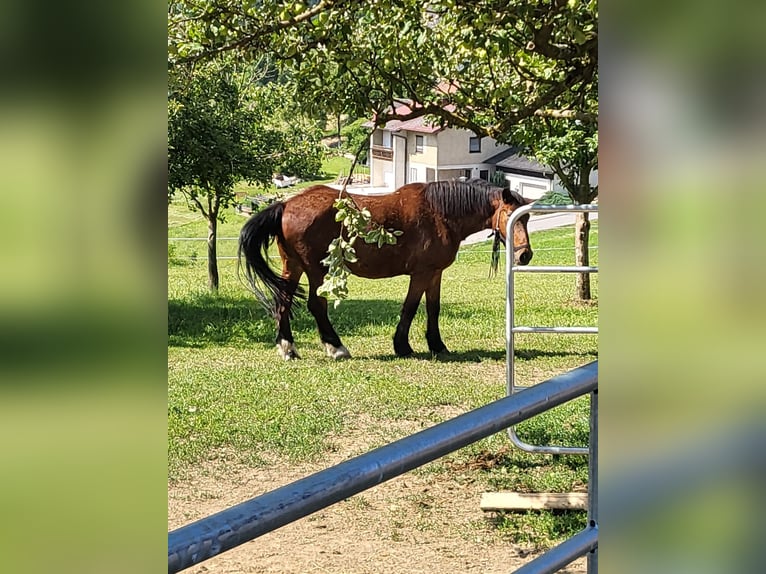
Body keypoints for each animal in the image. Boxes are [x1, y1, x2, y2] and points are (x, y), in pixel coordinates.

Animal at [238, 179, 533, 360]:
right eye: (511, 216)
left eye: (528, 217)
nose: (525, 254)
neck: (440, 213)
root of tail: (286, 204)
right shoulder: (421, 274)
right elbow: (410, 308)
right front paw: (402, 346)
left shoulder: (435, 273)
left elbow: (433, 308)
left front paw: (437, 345)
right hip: (316, 270)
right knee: (316, 305)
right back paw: (336, 346)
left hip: (293, 266)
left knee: (283, 302)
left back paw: (287, 347)